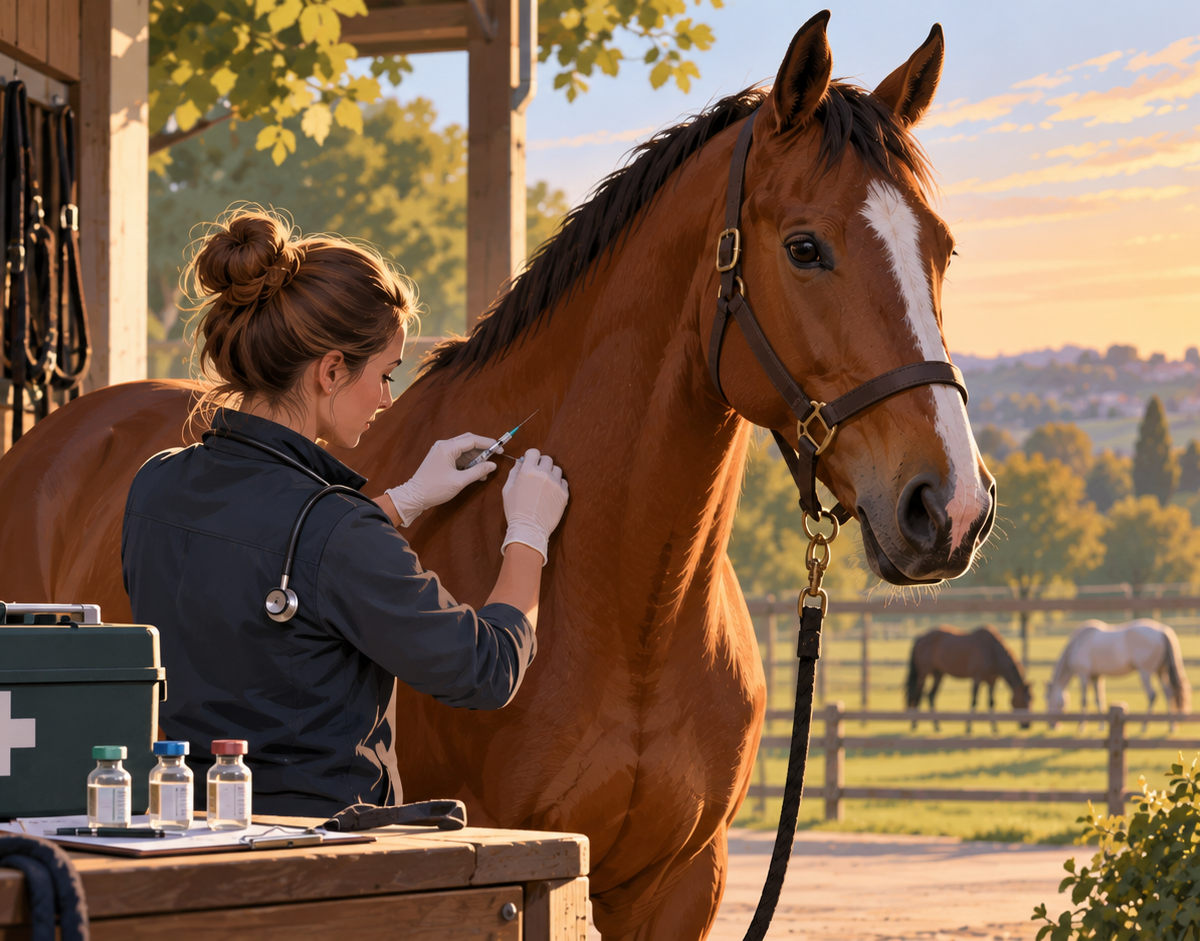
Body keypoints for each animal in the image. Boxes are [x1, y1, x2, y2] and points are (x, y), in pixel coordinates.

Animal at [1047, 619, 1191, 732]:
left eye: (1047, 699)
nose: (1052, 725)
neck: (1078, 642)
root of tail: (1162, 631)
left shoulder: (1084, 675)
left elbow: (1084, 700)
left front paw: (1082, 726)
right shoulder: (1096, 676)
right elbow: (1098, 699)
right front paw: (1101, 726)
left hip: (1146, 672)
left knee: (1152, 695)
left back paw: (1144, 726)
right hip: (1160, 671)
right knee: (1168, 693)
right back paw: (1171, 725)